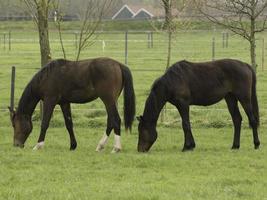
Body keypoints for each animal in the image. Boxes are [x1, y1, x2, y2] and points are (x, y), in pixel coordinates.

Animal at [8, 56, 136, 152]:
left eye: (14, 125)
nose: (16, 144)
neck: (46, 77)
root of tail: (118, 64)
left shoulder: (50, 101)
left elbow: (45, 123)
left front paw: (38, 145)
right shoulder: (64, 103)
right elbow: (69, 124)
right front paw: (73, 146)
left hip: (108, 99)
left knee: (116, 120)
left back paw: (116, 148)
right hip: (111, 100)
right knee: (110, 121)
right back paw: (100, 146)